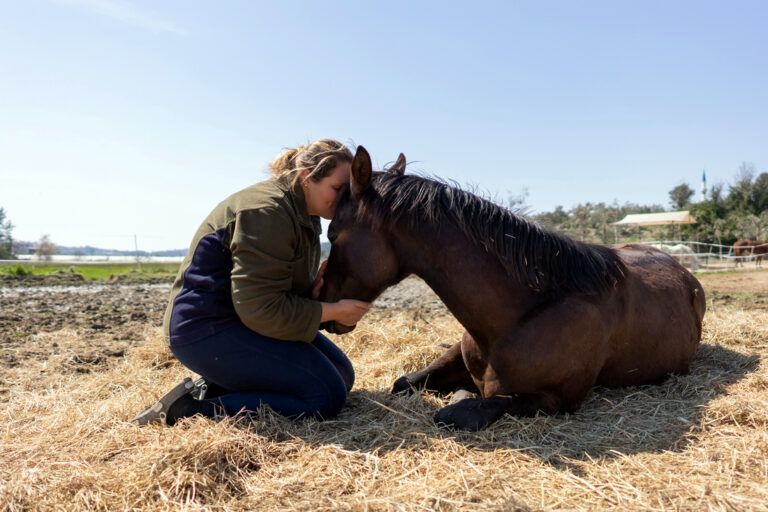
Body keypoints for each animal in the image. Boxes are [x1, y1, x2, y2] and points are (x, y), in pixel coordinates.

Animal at [320, 147, 706, 431]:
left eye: (333, 233)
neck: (521, 315)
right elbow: (404, 383)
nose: (320, 298)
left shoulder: (552, 399)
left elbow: (456, 410)